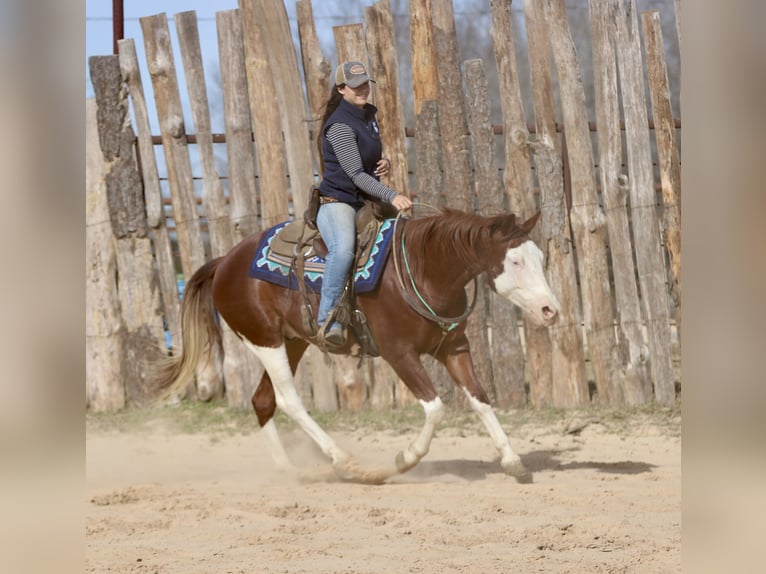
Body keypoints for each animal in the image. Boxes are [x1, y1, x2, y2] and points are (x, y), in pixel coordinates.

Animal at [153, 208, 560, 483]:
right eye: (515, 260)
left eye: (542, 257)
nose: (550, 309)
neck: (424, 270)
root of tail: (225, 261)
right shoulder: (399, 354)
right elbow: (435, 408)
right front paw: (404, 459)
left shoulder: (454, 348)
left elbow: (480, 399)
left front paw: (512, 461)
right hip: (264, 341)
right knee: (288, 400)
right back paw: (346, 462)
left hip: (294, 341)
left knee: (263, 400)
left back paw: (291, 470)